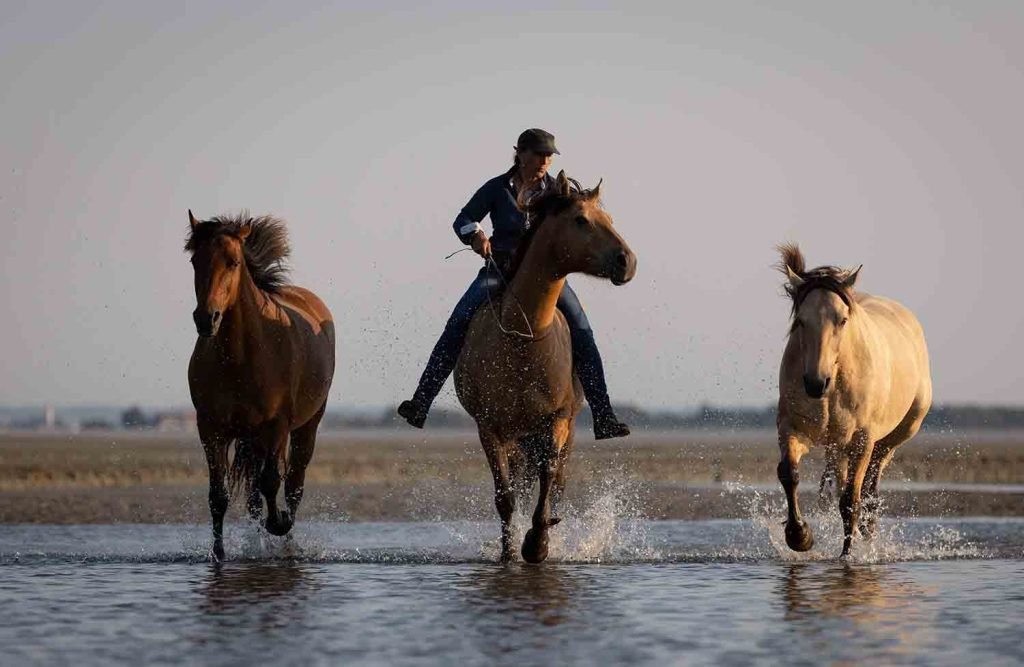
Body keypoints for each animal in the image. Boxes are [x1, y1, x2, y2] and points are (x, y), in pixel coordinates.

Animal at [185, 211, 335, 560]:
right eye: (196, 261)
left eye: (233, 262)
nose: (206, 319)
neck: (242, 357)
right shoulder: (210, 429)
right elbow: (218, 495)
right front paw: (219, 553)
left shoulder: (276, 425)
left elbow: (272, 481)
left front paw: (278, 523)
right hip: (250, 438)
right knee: (255, 495)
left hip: (306, 426)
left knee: (293, 483)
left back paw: (287, 537)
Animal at [454, 171, 637, 563]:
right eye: (581, 220)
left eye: (610, 219)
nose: (627, 261)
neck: (525, 337)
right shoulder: (489, 428)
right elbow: (505, 497)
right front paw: (510, 552)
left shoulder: (557, 420)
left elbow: (549, 477)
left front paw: (537, 544)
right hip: (516, 437)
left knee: (555, 481)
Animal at [775, 243, 931, 557]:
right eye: (800, 321)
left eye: (842, 320)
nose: (815, 383)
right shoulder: (792, 427)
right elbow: (790, 474)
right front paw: (799, 535)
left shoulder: (863, 438)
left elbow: (850, 502)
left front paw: (847, 557)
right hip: (838, 447)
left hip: (888, 441)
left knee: (869, 492)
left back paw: (867, 537)